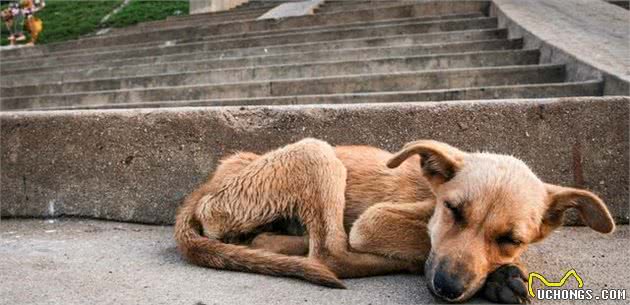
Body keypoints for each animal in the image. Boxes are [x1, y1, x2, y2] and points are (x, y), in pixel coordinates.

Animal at [174, 138, 616, 302]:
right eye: (453, 211)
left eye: (510, 238)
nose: (447, 288)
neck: (430, 194)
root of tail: (208, 184)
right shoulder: (375, 221)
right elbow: (422, 242)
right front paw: (499, 277)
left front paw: (502, 273)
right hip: (316, 151)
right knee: (332, 254)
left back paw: (278, 242)